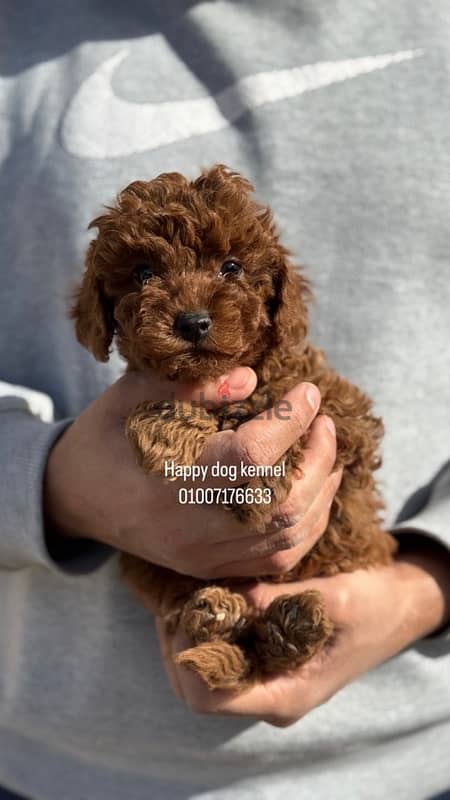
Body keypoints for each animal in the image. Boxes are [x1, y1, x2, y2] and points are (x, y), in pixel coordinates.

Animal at [72, 166, 396, 692]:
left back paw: (293, 624)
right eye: (143, 273)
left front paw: (255, 476)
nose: (193, 322)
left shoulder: (340, 413)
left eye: (232, 267)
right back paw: (219, 613)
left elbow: (283, 405)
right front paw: (166, 429)